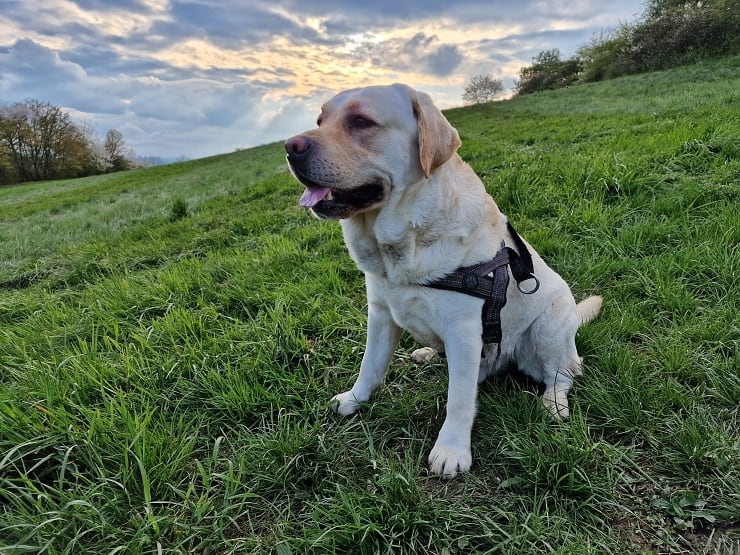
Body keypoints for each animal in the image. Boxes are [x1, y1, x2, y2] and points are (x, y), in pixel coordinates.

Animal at [284, 82, 600, 478]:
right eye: (320, 121)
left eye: (361, 122)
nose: (290, 147)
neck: (403, 242)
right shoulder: (380, 314)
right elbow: (370, 366)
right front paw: (354, 399)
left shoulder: (463, 329)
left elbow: (459, 400)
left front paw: (451, 450)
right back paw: (426, 353)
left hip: (549, 328)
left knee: (564, 373)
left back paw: (553, 404)